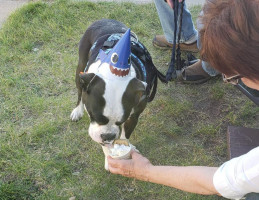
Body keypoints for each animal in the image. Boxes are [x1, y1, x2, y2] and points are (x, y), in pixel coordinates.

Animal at [70, 18, 167, 170]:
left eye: (121, 121)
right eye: (94, 116)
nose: (108, 136)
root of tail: (105, 19)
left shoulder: (133, 116)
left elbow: (125, 135)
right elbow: (104, 144)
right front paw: (108, 159)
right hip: (80, 67)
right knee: (80, 92)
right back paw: (77, 110)